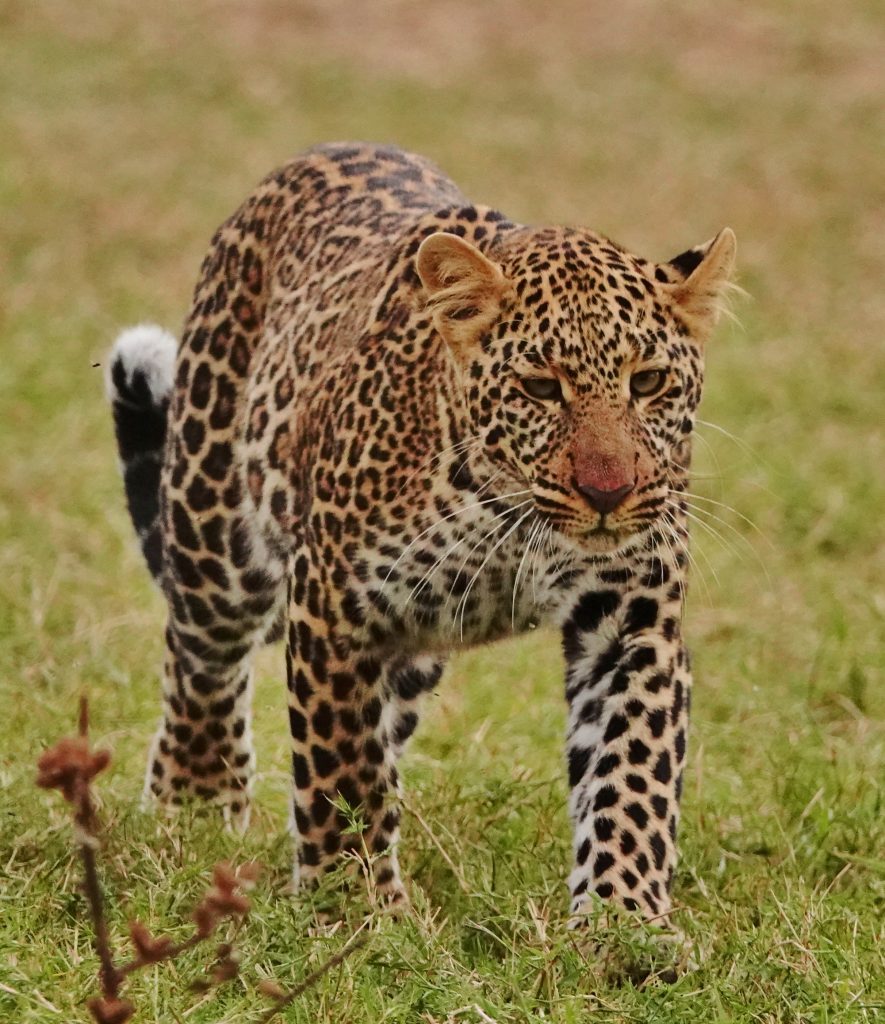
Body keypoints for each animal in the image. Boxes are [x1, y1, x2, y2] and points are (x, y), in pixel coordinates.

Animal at [107, 142, 737, 921]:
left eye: (648, 382)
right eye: (540, 388)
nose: (607, 493)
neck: (507, 512)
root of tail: (326, 150)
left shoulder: (633, 621)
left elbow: (630, 778)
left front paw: (625, 924)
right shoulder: (334, 605)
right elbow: (341, 770)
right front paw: (355, 910)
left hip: (412, 647)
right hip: (216, 532)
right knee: (202, 660)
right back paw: (192, 811)